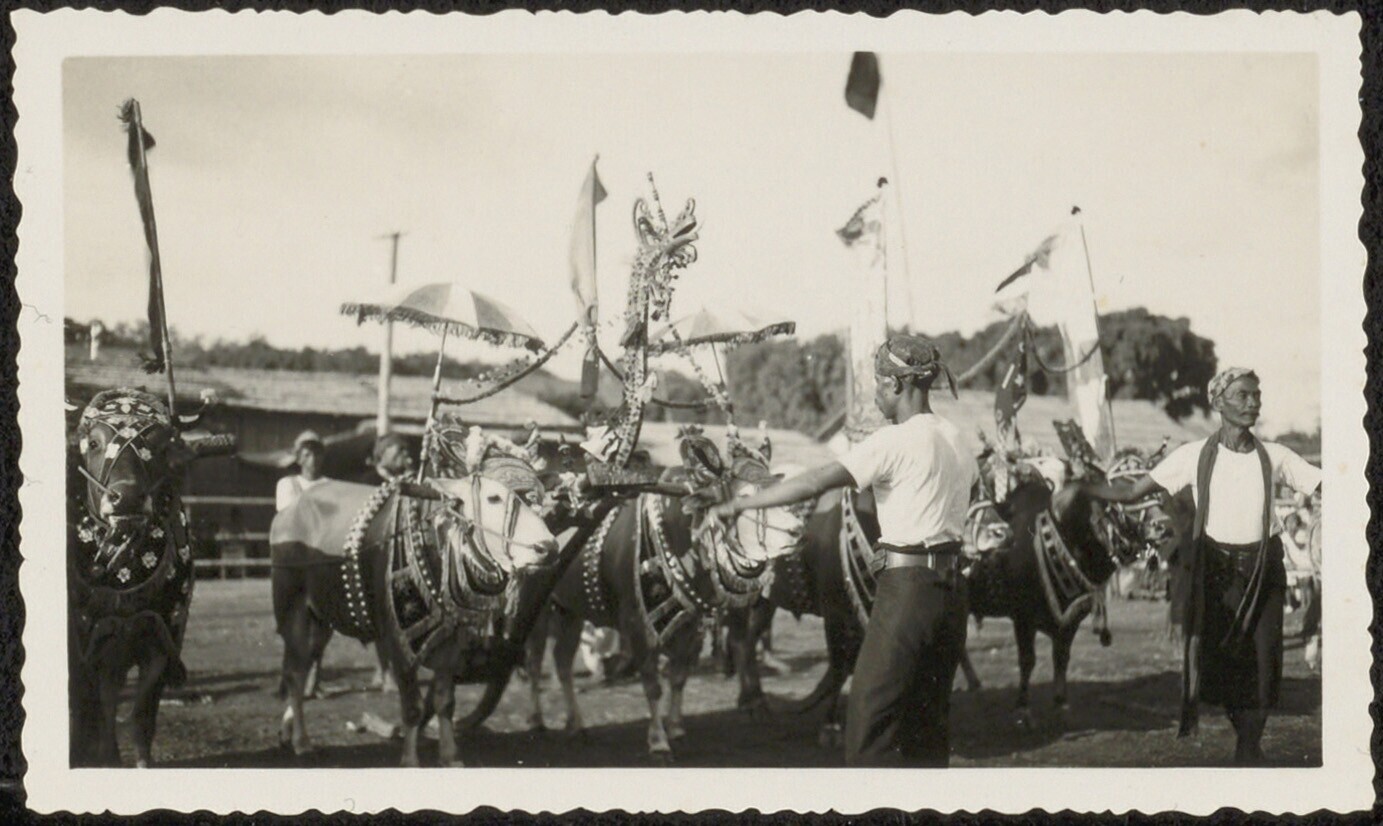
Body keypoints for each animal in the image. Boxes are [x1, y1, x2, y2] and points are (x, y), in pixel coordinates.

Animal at [68, 387, 234, 767]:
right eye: (94, 443)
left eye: (160, 447)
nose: (126, 498)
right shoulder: (87, 649)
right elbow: (96, 713)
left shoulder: (160, 638)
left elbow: (141, 717)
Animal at [270, 428, 560, 767]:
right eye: (494, 497)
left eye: (538, 497)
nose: (548, 548)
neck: (439, 541)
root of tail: (289, 511)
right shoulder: (397, 641)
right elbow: (412, 707)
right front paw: (410, 759)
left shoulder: (452, 642)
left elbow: (445, 701)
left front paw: (450, 755)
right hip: (294, 612)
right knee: (295, 673)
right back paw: (301, 740)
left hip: (321, 620)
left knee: (301, 669)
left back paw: (288, 730)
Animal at [519, 428, 806, 763]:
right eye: (746, 497)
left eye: (778, 488)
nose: (797, 530)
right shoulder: (637, 624)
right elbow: (653, 684)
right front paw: (658, 740)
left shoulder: (690, 623)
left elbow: (679, 677)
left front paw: (676, 728)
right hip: (539, 609)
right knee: (534, 662)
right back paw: (536, 719)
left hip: (570, 609)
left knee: (562, 661)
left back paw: (575, 724)